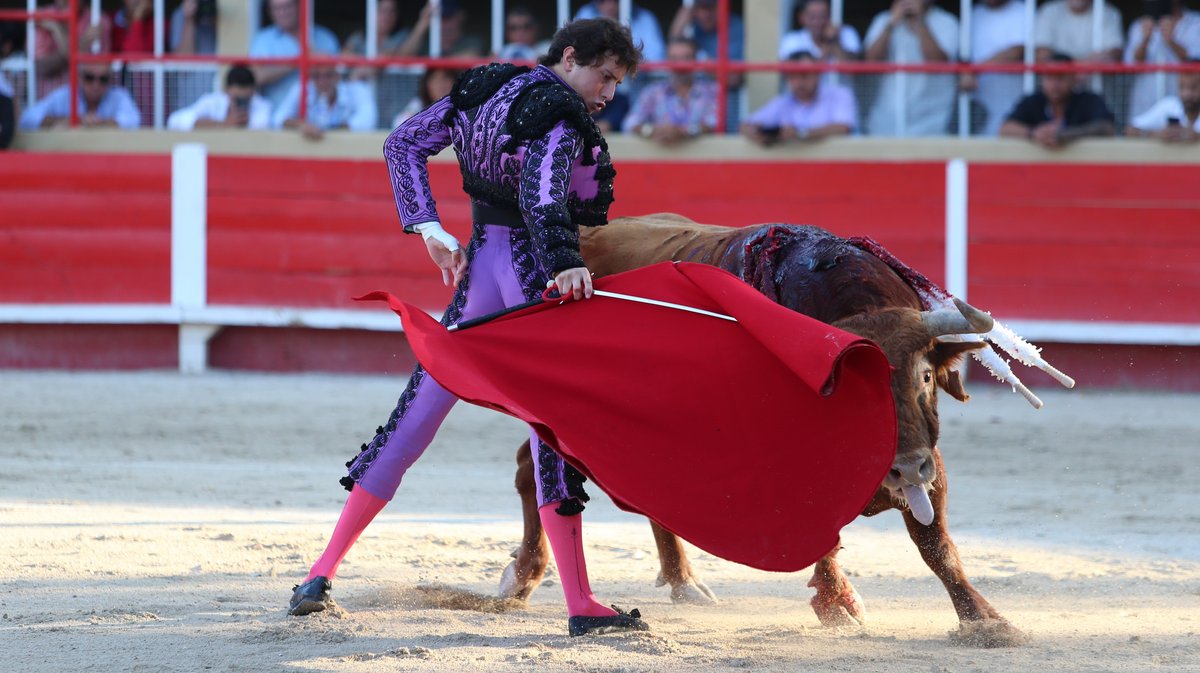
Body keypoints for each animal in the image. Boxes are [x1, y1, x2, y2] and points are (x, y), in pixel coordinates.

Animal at [496, 213, 1070, 647]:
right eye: (853, 389)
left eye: (925, 376)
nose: (906, 468)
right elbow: (821, 531)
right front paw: (836, 602)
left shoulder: (933, 461)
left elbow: (938, 546)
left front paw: (988, 622)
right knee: (533, 473)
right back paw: (520, 579)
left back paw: (685, 584)